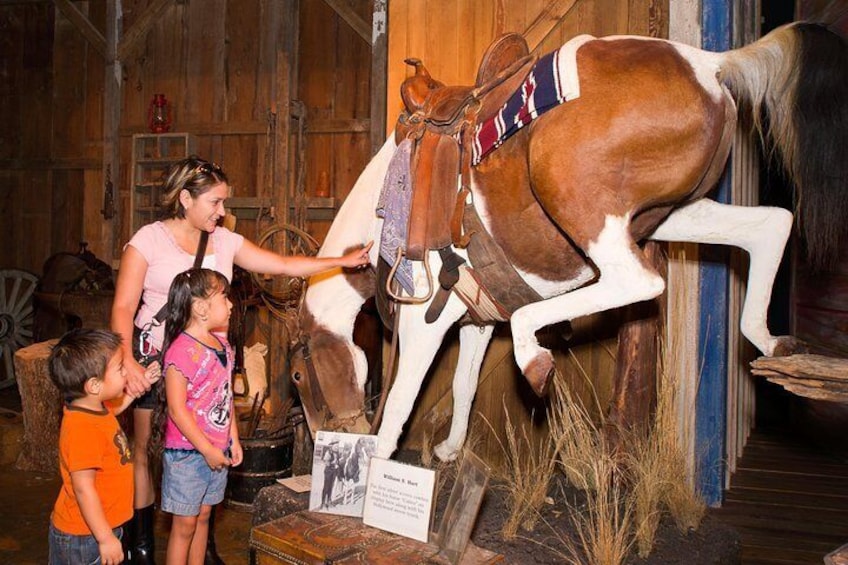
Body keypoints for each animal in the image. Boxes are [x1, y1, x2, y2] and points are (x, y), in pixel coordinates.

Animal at [290, 23, 848, 462]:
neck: (384, 208)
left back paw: (534, 357)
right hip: (672, 216)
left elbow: (401, 403)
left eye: (297, 378)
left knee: (636, 282)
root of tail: (710, 65)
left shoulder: (425, 318)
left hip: (579, 203)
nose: (322, 441)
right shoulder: (474, 319)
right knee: (771, 225)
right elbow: (464, 384)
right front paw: (449, 450)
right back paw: (772, 340)